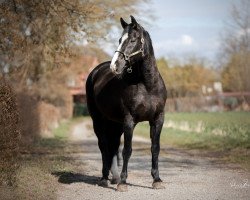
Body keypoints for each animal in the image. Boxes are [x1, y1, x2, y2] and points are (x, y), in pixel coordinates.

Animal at [86, 15, 168, 191]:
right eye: (119, 40)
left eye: (133, 40)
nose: (115, 65)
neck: (148, 85)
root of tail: (96, 71)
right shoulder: (129, 121)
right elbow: (127, 150)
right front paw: (123, 182)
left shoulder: (158, 119)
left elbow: (155, 148)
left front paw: (157, 180)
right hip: (98, 121)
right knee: (104, 146)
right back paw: (105, 178)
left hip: (115, 123)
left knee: (113, 147)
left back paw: (114, 177)